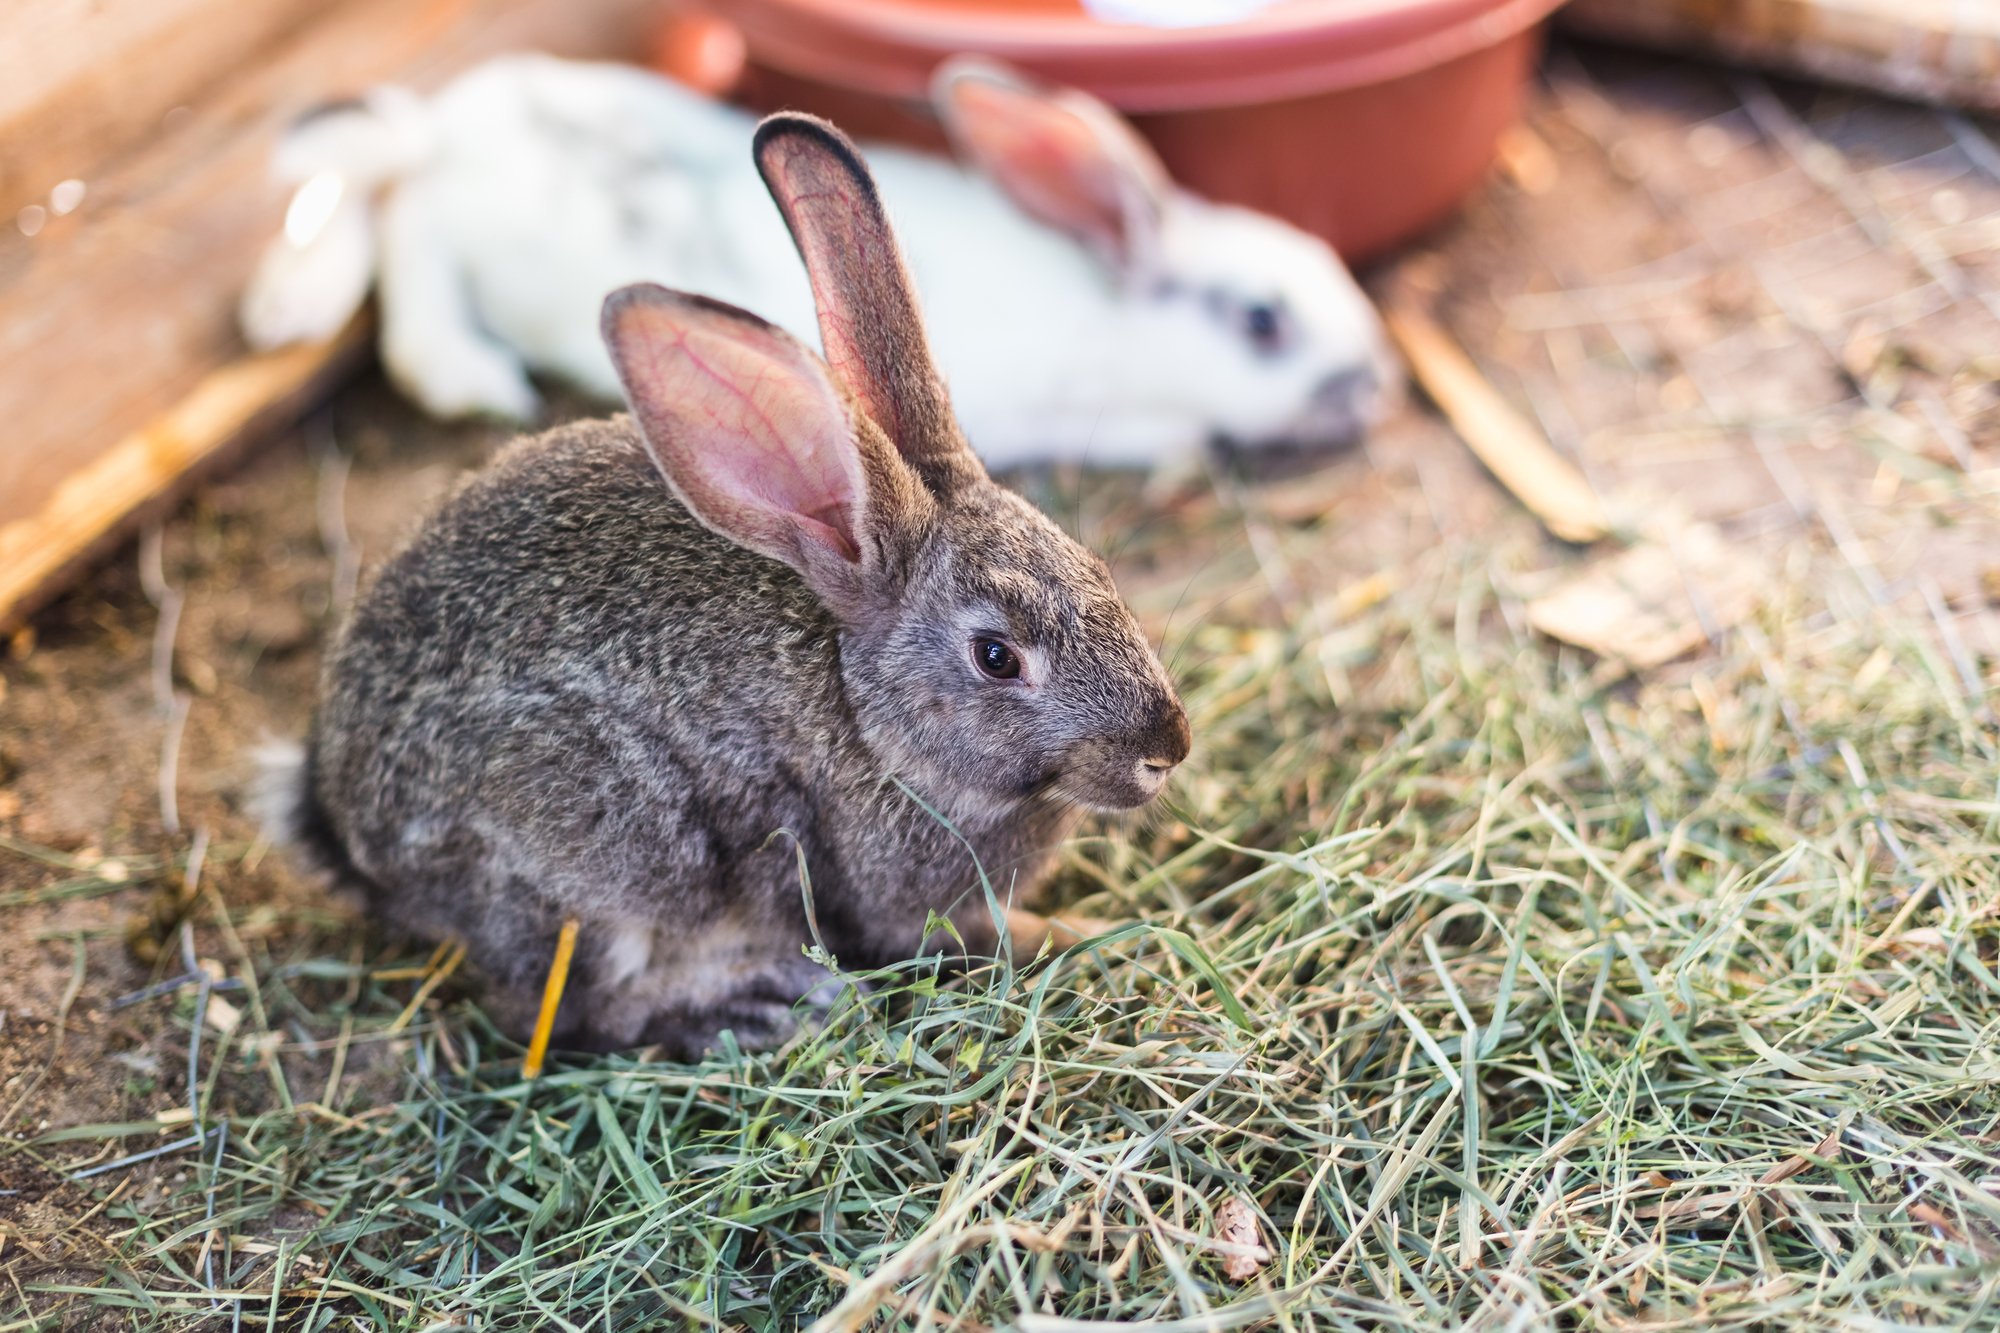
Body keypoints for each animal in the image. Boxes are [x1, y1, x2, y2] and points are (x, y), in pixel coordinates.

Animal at [241, 52, 1396, 470]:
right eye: (1262, 320)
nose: (1374, 388)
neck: (1114, 321)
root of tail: (451, 125)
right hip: (472, 231)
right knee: (406, 229)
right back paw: (457, 372)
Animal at [260, 111, 1192, 1058]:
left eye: (1098, 571)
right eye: (997, 655)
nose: (1167, 747)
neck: (871, 720)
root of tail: (348, 828)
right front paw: (1081, 935)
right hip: (606, 849)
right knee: (566, 1008)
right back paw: (756, 1003)